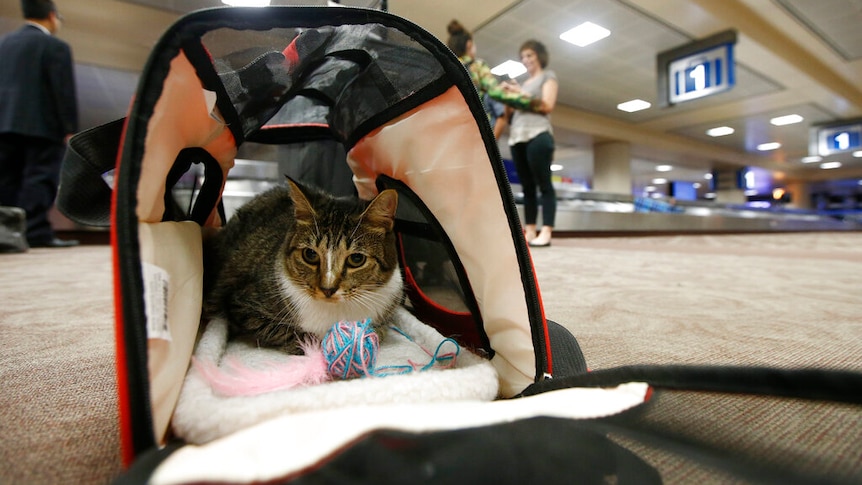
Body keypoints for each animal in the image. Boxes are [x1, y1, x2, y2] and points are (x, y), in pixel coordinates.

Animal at [204, 178, 404, 352]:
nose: (328, 289)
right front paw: (310, 344)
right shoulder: (241, 304)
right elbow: (283, 331)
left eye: (356, 259)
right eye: (310, 255)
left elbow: (381, 330)